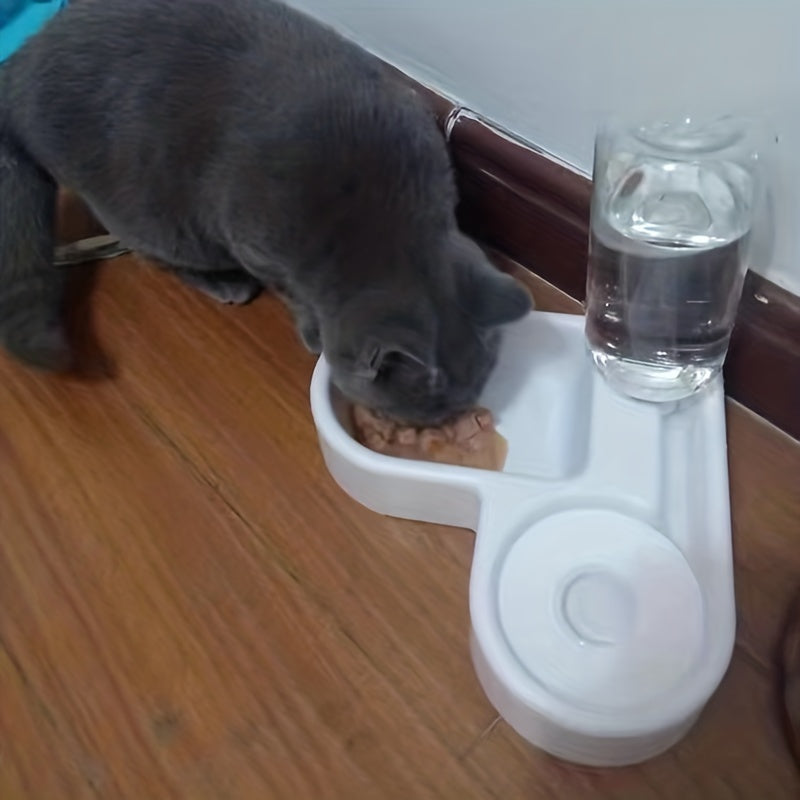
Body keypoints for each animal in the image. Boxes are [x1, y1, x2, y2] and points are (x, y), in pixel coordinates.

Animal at [0, 0, 532, 424]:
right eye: (420, 409)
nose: (442, 424)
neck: (380, 222)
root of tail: (20, 63)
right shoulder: (257, 246)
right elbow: (293, 294)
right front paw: (311, 331)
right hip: (150, 216)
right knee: (152, 253)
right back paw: (223, 283)